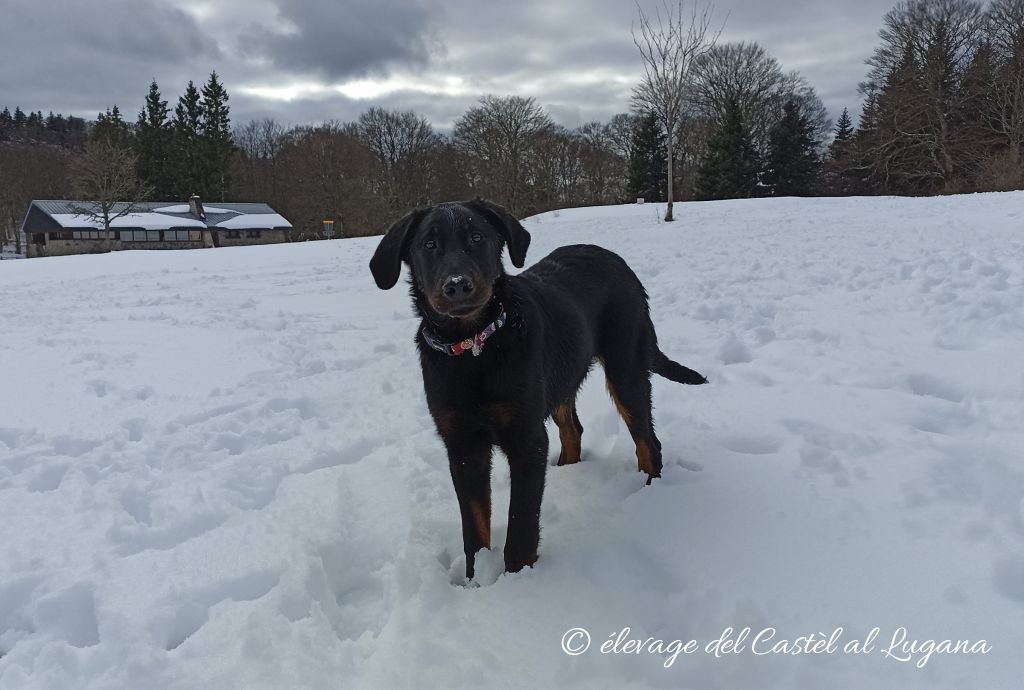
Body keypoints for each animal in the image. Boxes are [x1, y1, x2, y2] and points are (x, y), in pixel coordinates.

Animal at [372, 200, 708, 581]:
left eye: (477, 237)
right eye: (428, 245)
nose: (457, 285)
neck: (474, 350)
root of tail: (618, 261)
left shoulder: (526, 439)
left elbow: (521, 525)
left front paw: (519, 583)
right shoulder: (462, 444)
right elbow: (474, 528)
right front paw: (476, 581)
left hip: (626, 368)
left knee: (647, 442)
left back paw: (651, 497)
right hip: (562, 377)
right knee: (573, 429)